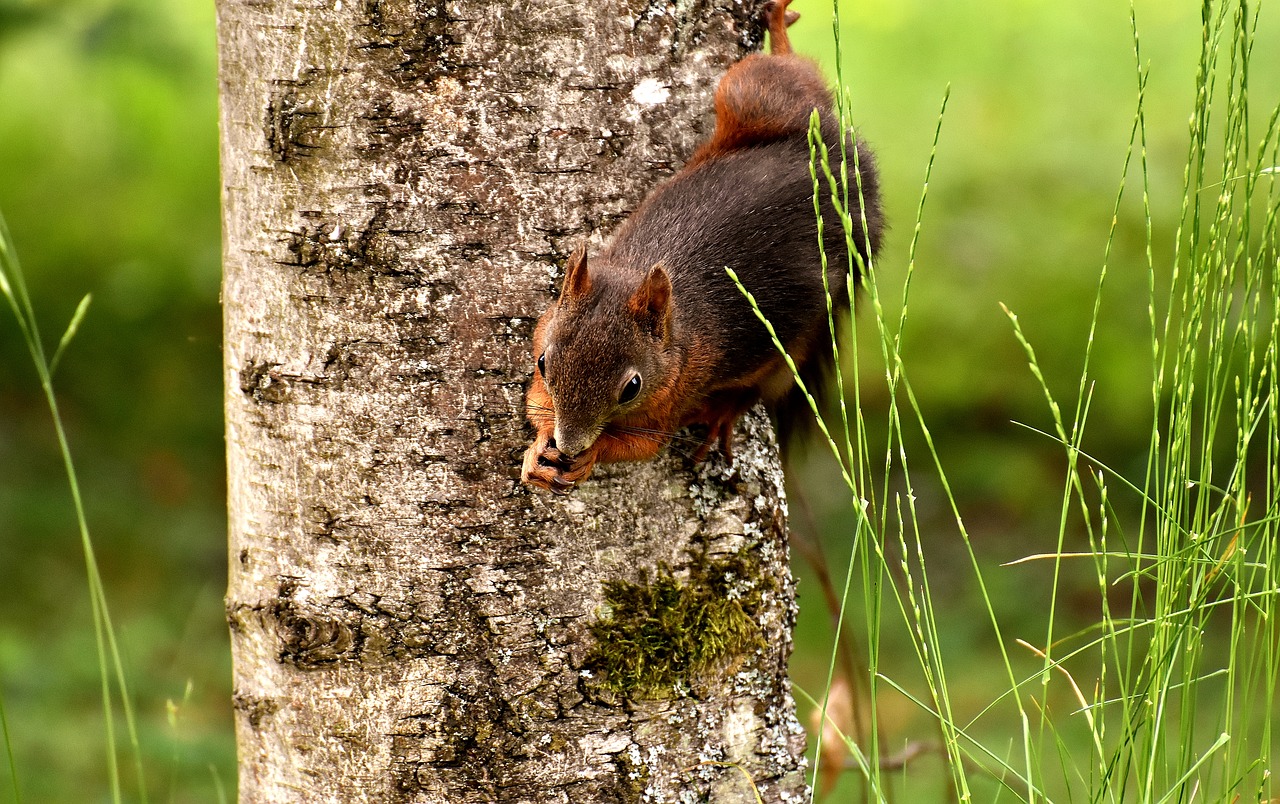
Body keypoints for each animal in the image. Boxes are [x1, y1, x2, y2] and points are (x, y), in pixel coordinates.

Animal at [519, 0, 880, 494]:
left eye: (631, 387)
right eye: (541, 362)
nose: (568, 445)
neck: (677, 332)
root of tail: (847, 174)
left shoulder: (675, 395)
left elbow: (641, 446)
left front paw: (591, 453)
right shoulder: (545, 328)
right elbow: (536, 404)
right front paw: (538, 450)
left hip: (800, 338)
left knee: (766, 383)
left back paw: (721, 415)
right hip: (757, 97)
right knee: (796, 85)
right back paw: (779, 26)